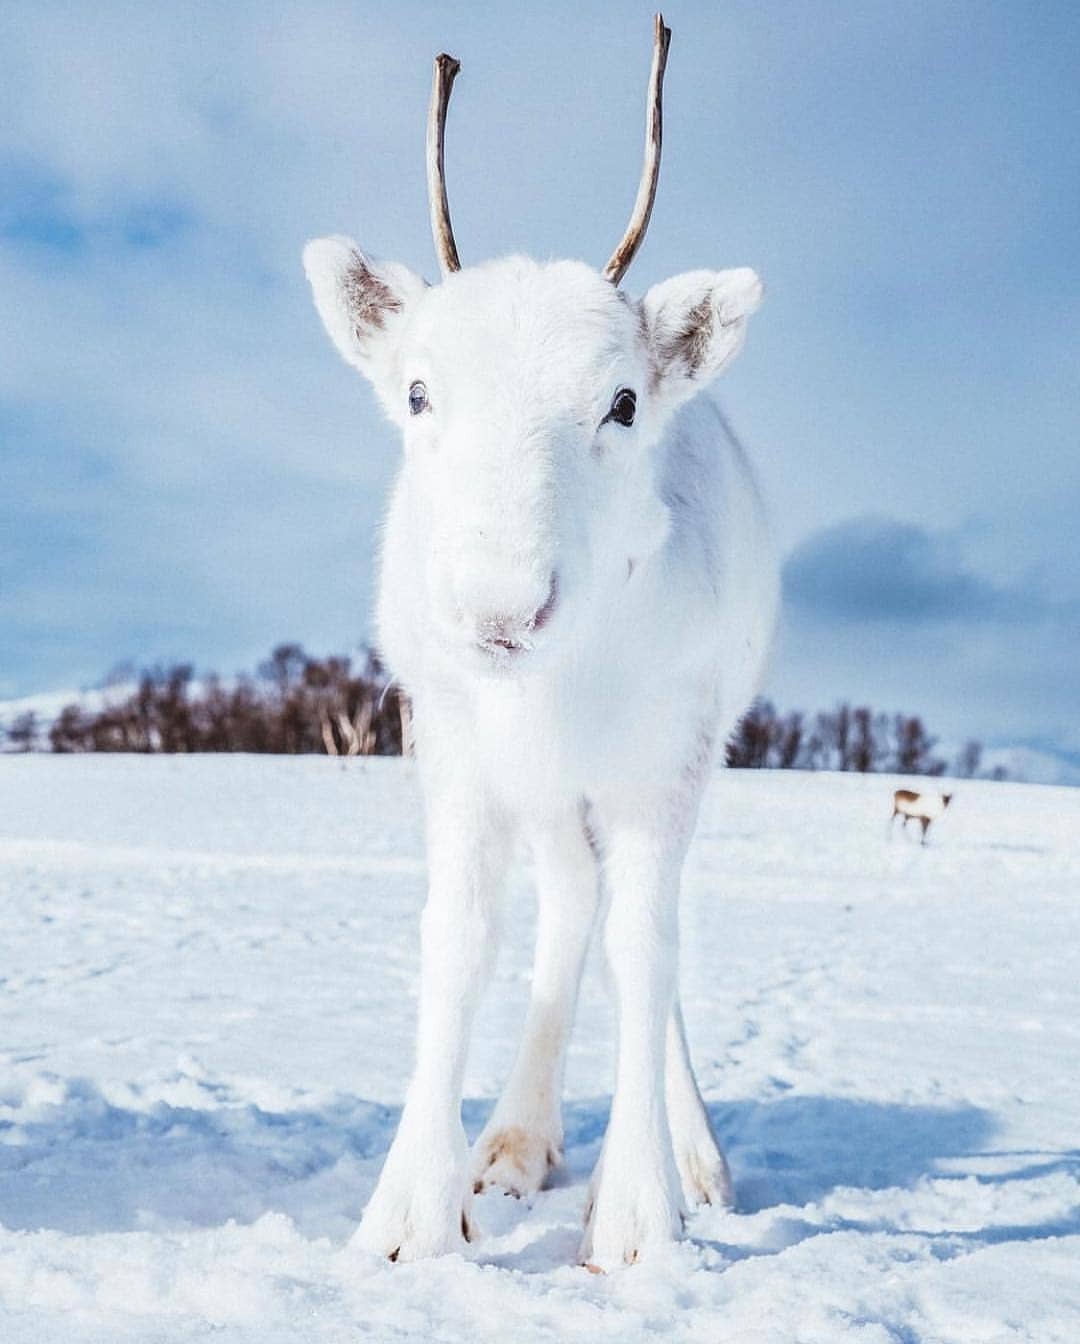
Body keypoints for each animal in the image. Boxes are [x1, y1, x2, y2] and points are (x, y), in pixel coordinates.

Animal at [303, 14, 777, 1268]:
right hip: (550, 797)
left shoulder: (667, 753)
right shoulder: (456, 743)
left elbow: (647, 950)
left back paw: (689, 1158)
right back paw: (516, 1141)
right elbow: (461, 941)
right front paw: (409, 1218)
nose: (500, 612)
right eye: (418, 394)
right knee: (571, 905)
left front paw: (641, 1216)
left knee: (636, 935)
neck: (558, 688)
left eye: (623, 401)